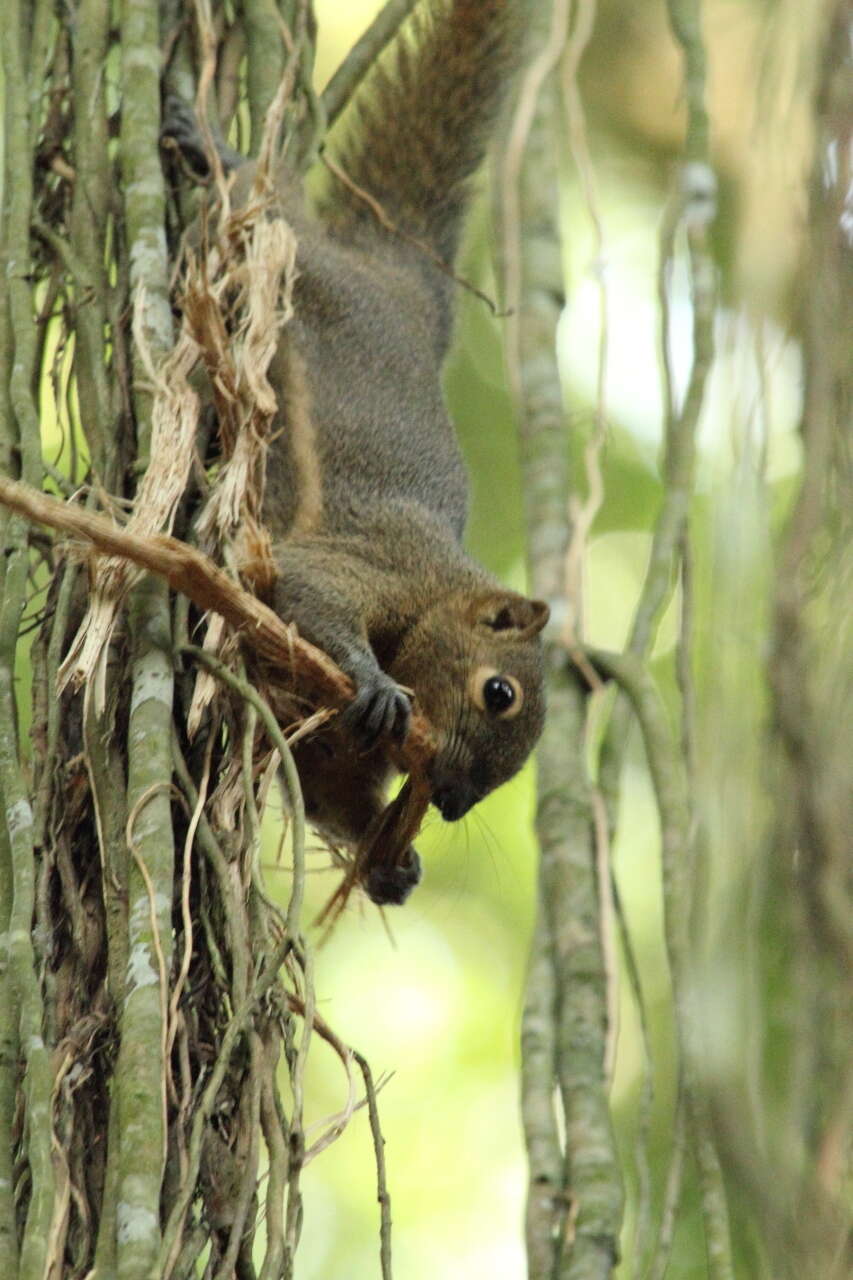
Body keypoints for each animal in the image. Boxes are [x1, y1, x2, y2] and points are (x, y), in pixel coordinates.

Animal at [163, 0, 548, 906]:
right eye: (499, 692)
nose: (451, 801)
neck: (442, 586)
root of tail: (402, 282)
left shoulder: (331, 746)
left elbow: (328, 786)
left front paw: (392, 866)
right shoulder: (375, 561)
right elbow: (305, 589)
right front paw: (372, 681)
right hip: (296, 263)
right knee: (263, 206)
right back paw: (213, 147)